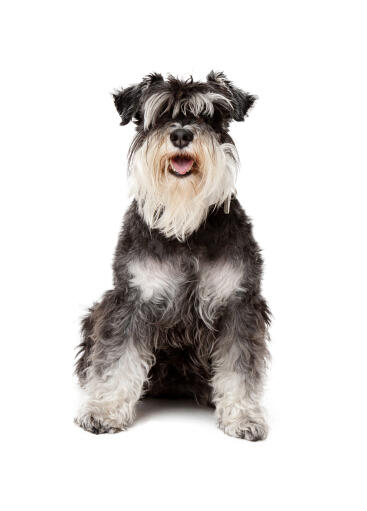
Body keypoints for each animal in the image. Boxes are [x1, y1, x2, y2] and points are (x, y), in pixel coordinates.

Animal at [75, 71, 270, 440]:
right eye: (159, 114)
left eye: (210, 116)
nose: (181, 134)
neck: (185, 229)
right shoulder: (130, 300)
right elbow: (117, 359)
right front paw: (104, 411)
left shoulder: (239, 303)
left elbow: (239, 366)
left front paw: (243, 416)